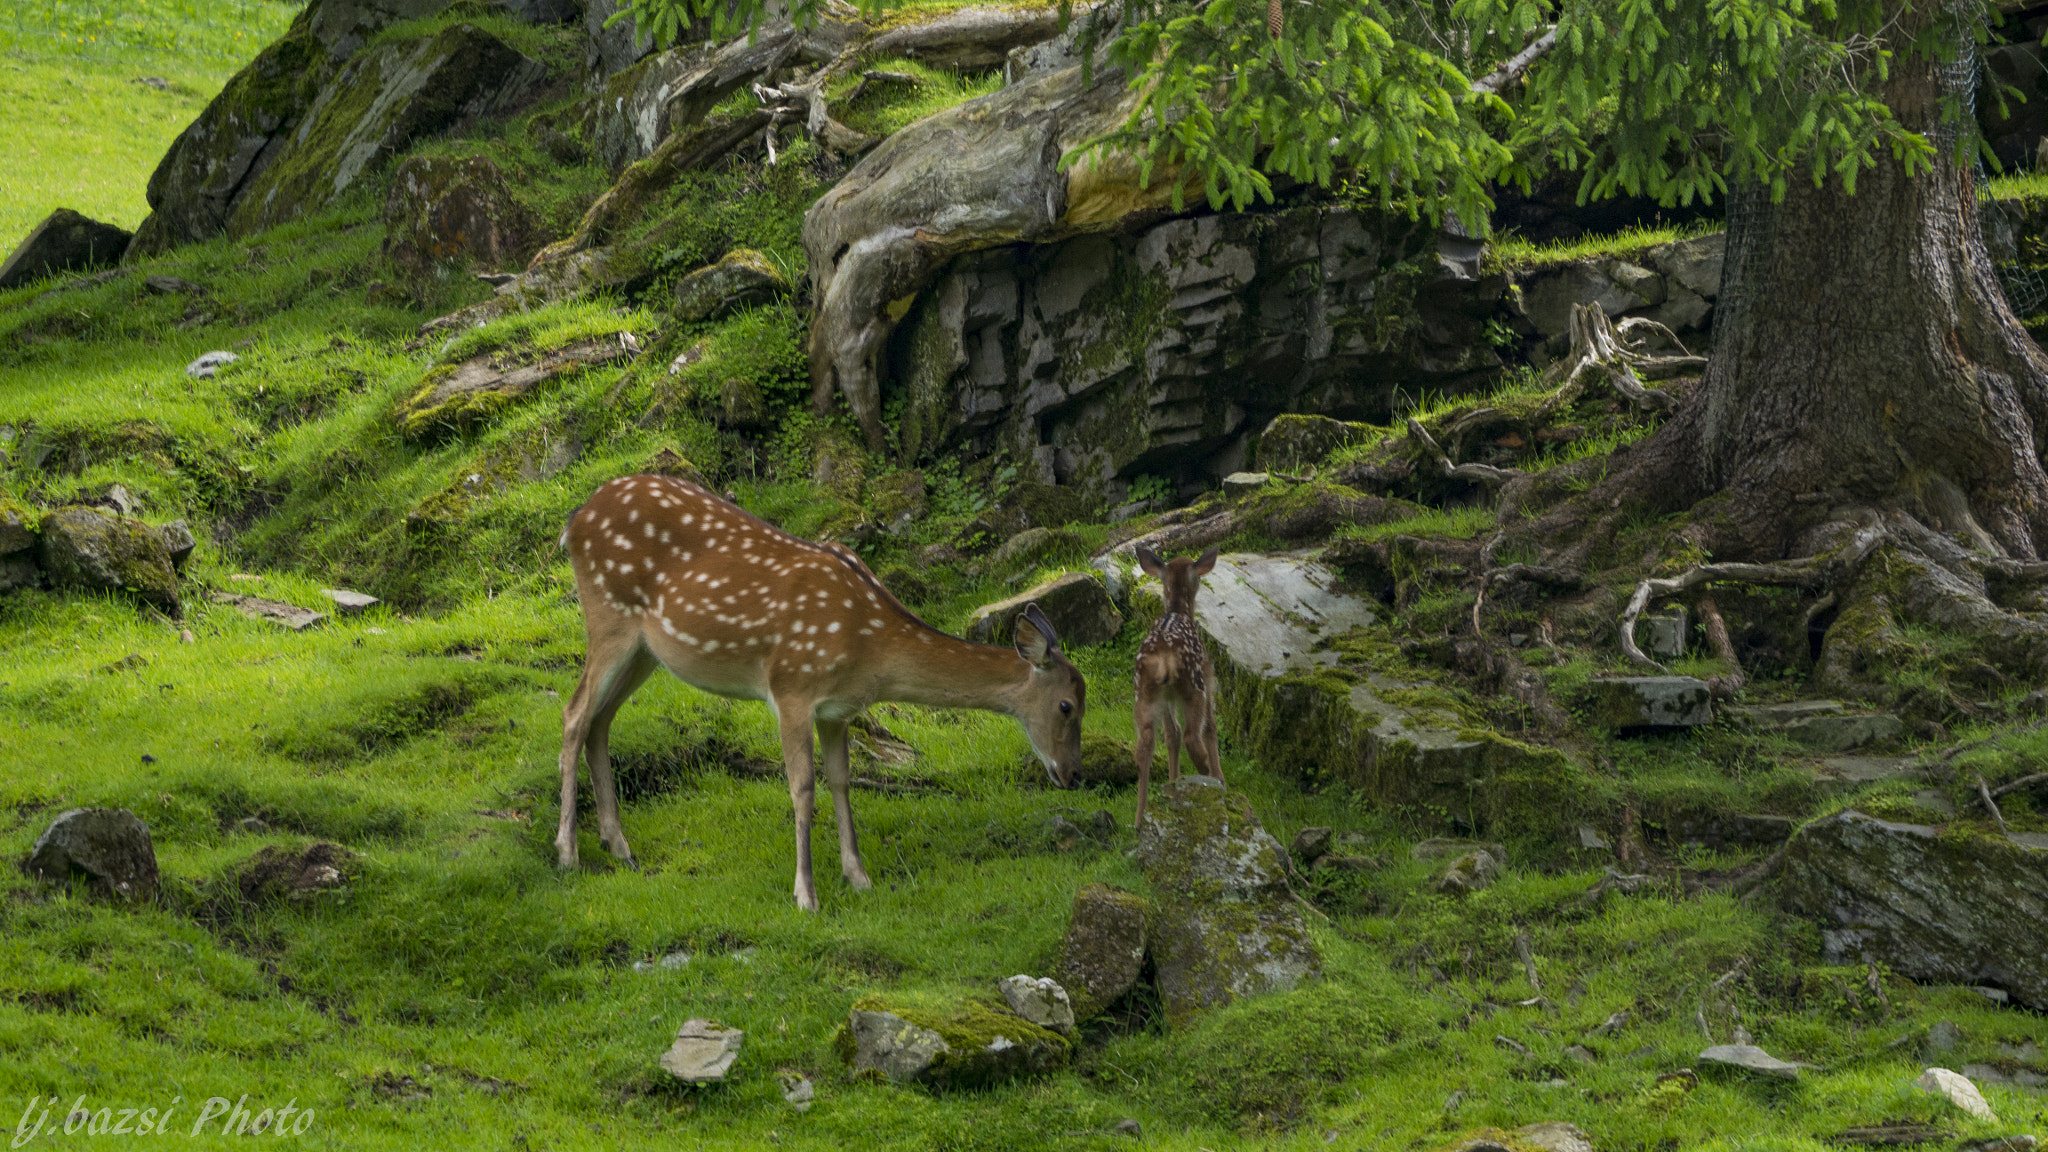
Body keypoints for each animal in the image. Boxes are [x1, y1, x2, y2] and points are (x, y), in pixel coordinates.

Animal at [556, 473, 1087, 911]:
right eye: (1067, 706)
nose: (1073, 775)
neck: (870, 648)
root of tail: (576, 518)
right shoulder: (792, 686)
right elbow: (802, 786)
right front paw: (806, 895)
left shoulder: (837, 709)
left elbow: (842, 781)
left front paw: (859, 877)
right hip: (608, 616)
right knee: (575, 713)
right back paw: (568, 852)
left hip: (646, 649)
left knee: (601, 721)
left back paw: (618, 845)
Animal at [1131, 546, 1221, 830]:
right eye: (1199, 577)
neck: (1178, 611)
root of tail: (1164, 660)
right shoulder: (1207, 674)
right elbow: (1210, 727)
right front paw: (1220, 779)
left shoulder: (1166, 699)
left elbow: (1172, 735)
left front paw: (1173, 782)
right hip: (1194, 686)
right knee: (1195, 735)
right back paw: (1209, 778)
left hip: (1144, 695)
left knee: (1144, 746)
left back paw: (1139, 820)